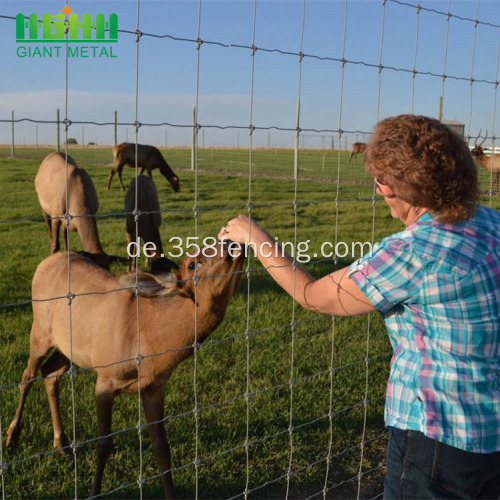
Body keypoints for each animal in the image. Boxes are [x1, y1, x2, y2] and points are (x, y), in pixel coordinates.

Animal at [5, 241, 244, 496]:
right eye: (192, 264)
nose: (232, 243)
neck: (150, 345)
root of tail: (45, 262)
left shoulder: (154, 388)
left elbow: (162, 448)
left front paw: (171, 494)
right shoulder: (106, 379)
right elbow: (104, 444)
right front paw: (94, 492)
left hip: (68, 346)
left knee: (50, 373)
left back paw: (62, 443)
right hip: (40, 328)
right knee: (27, 375)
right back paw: (12, 436)